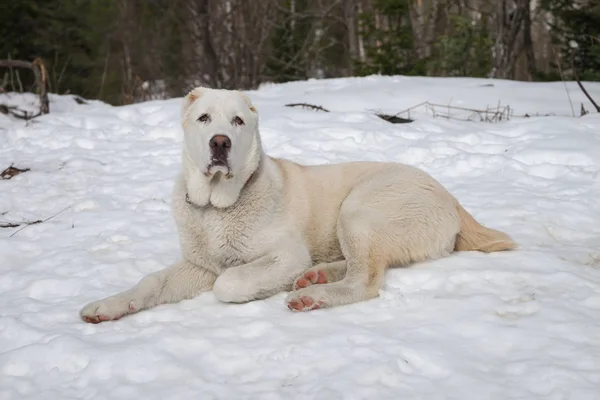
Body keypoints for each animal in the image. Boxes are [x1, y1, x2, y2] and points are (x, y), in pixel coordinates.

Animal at [79, 86, 516, 322]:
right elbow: (151, 282)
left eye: (237, 122)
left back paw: (312, 294)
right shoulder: (197, 265)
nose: (219, 143)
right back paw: (315, 277)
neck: (218, 208)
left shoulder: (284, 255)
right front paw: (108, 305)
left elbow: (229, 281)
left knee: (366, 278)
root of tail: (452, 198)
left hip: (358, 209)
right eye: (204, 118)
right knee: (361, 264)